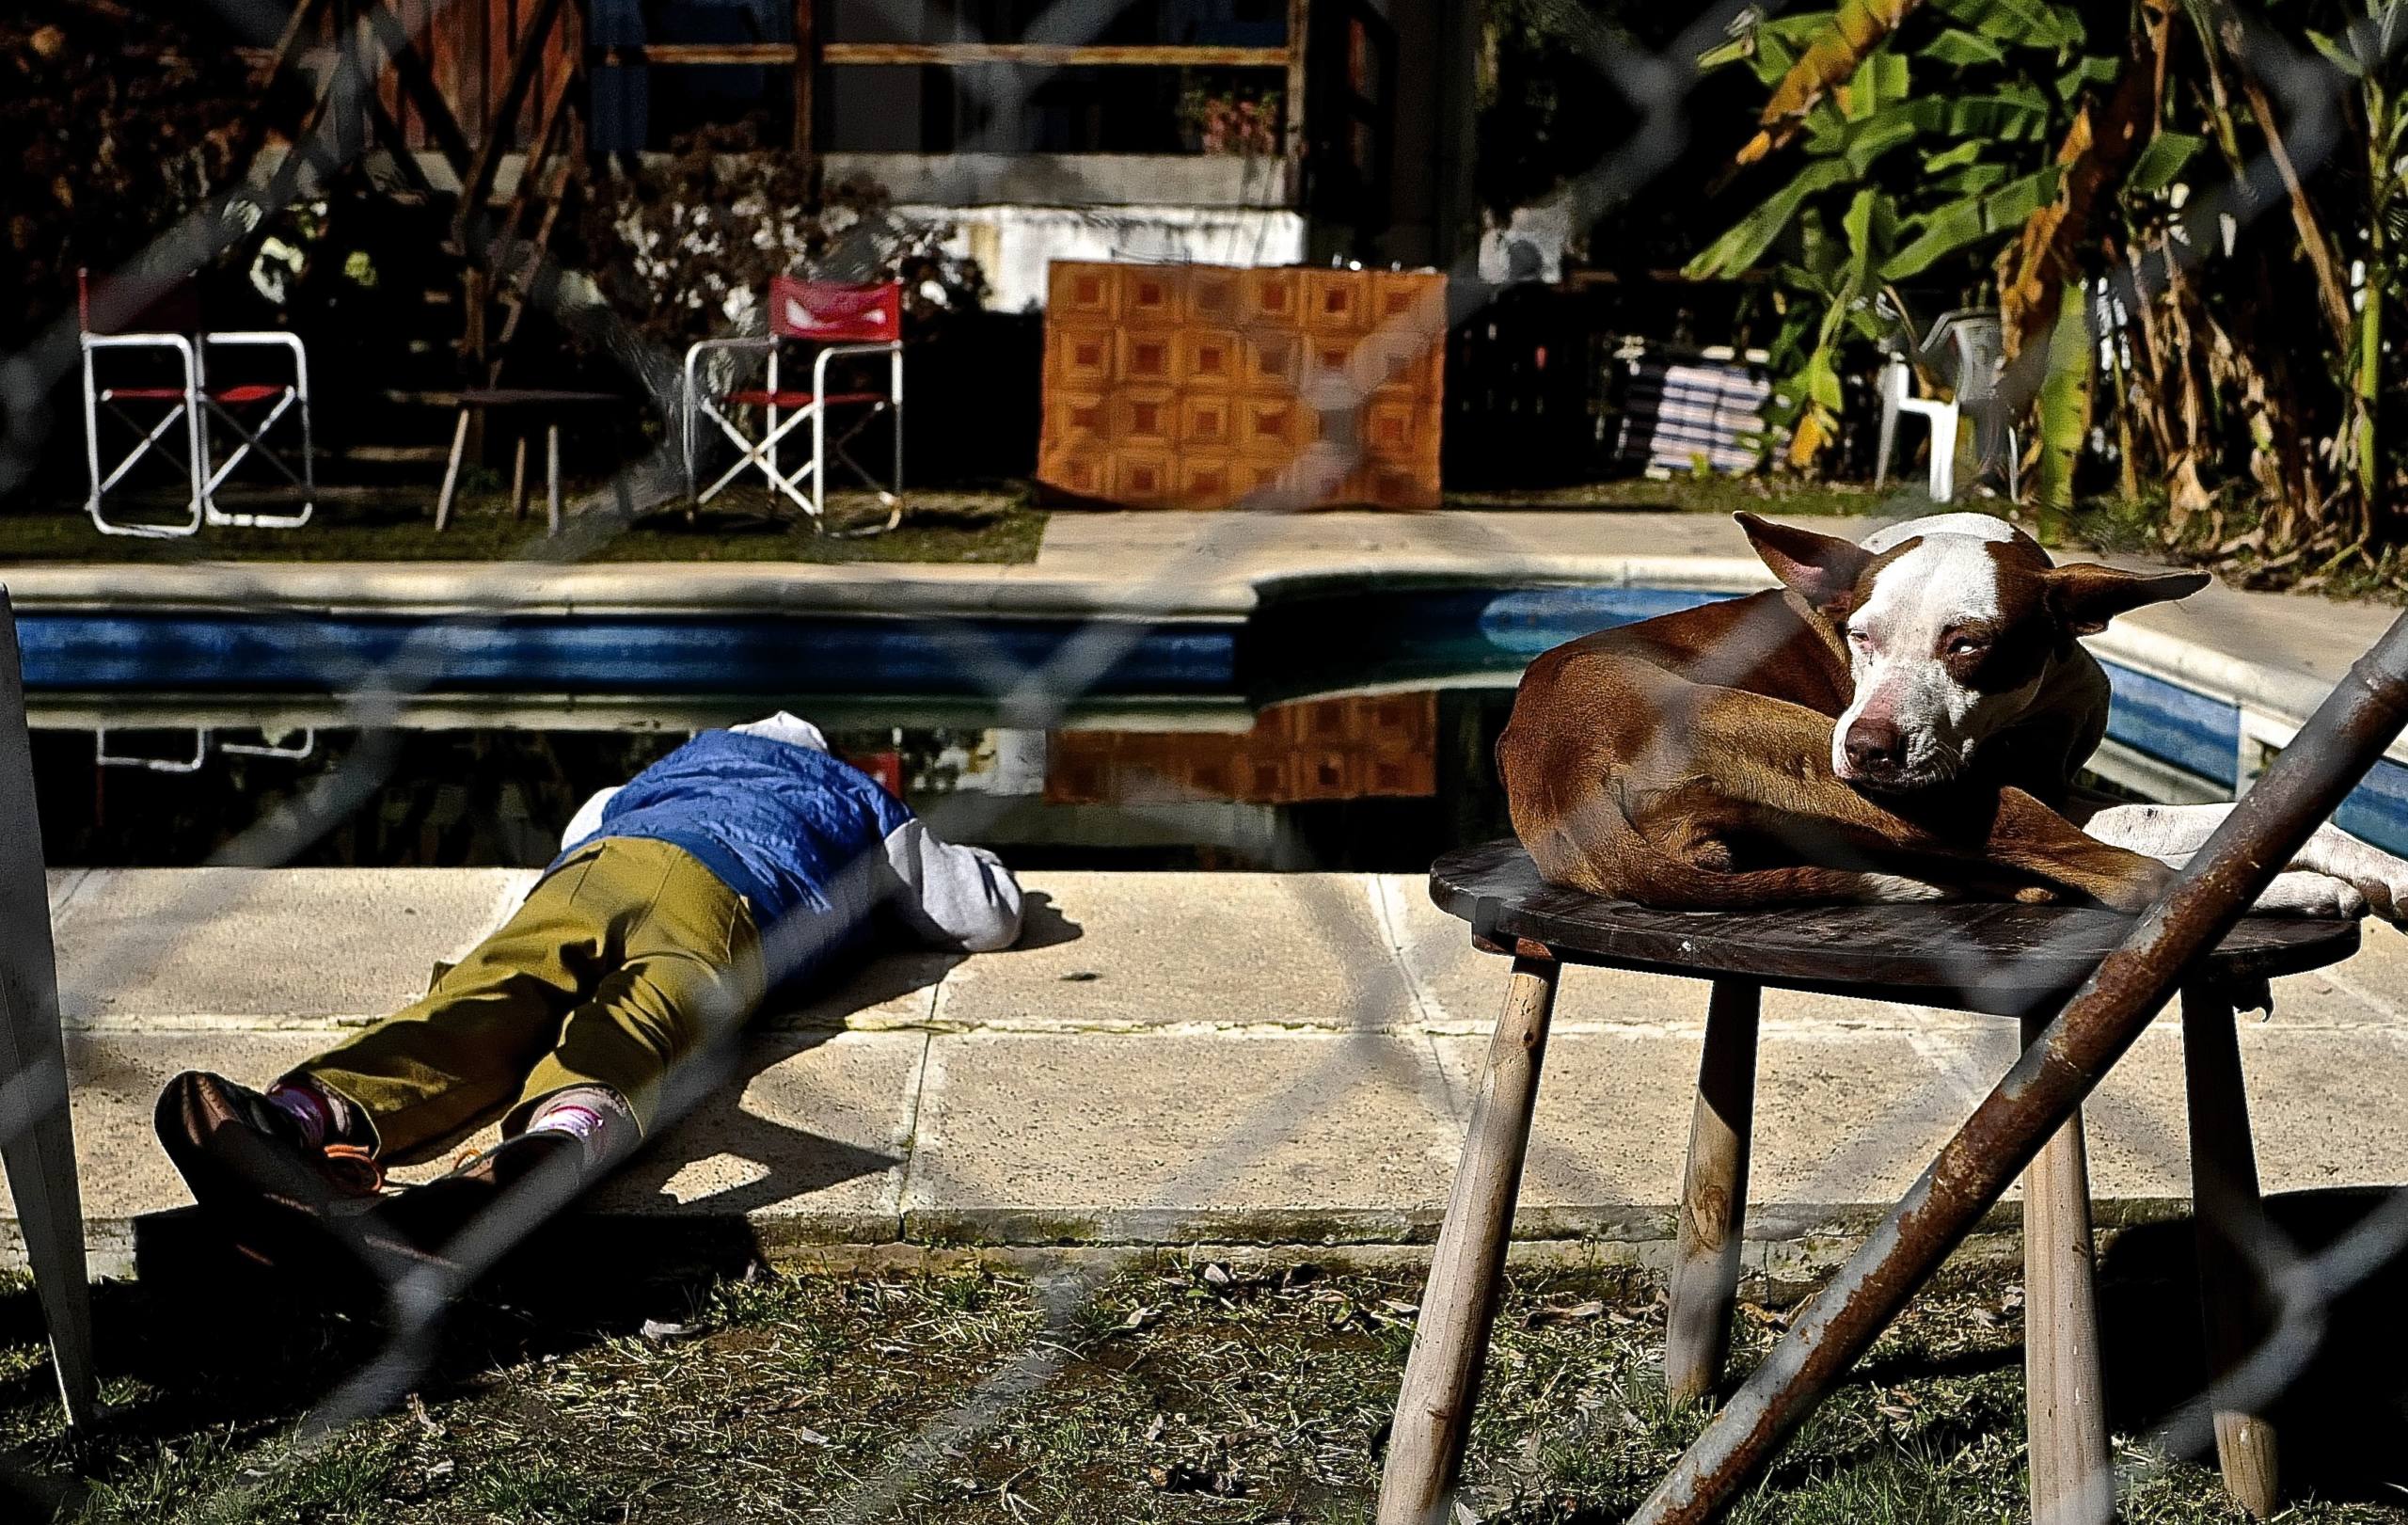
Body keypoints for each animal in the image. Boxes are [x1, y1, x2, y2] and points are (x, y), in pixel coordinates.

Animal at [1502, 508, 2408, 915]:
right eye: (1858, 637)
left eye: (1969, 644)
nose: (1870, 748)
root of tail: (1564, 788)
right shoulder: (2041, 795)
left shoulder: (2069, 784)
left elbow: (2274, 817)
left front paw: (2386, 867)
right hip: (1918, 789)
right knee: (2134, 882)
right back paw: (2294, 895)